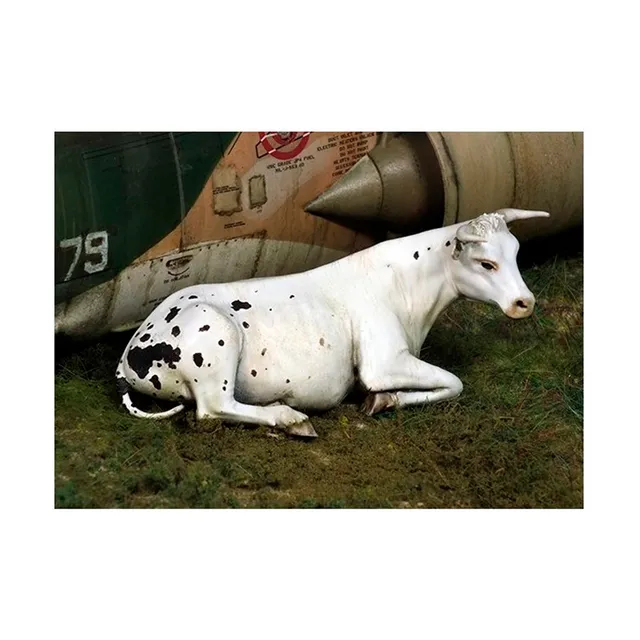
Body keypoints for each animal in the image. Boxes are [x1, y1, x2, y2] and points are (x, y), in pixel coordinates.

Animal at [115, 208, 549, 437]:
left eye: (515, 253)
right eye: (486, 263)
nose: (524, 303)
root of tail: (128, 354)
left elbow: (448, 385)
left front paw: (385, 401)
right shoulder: (382, 363)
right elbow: (456, 382)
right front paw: (382, 398)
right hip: (215, 341)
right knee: (212, 409)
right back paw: (290, 418)